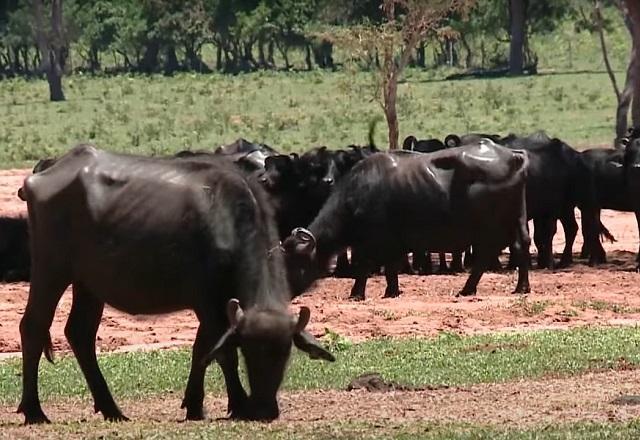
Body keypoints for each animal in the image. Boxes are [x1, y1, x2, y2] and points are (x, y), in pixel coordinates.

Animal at [16, 146, 332, 424]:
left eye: (285, 352)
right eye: (249, 351)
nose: (265, 409)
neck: (228, 222)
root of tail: (48, 169)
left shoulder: (219, 306)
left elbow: (202, 350)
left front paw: (195, 404)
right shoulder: (207, 301)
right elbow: (221, 353)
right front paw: (238, 403)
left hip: (89, 284)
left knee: (80, 334)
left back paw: (111, 408)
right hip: (51, 270)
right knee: (33, 326)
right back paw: (34, 410)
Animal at [284, 143, 528, 300]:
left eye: (294, 261)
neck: (357, 192)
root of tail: (512, 155)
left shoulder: (371, 240)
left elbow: (364, 264)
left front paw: (356, 293)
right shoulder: (393, 240)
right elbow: (391, 267)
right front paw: (392, 291)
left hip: (490, 225)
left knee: (488, 253)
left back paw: (470, 289)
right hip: (517, 218)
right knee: (520, 244)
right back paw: (520, 287)